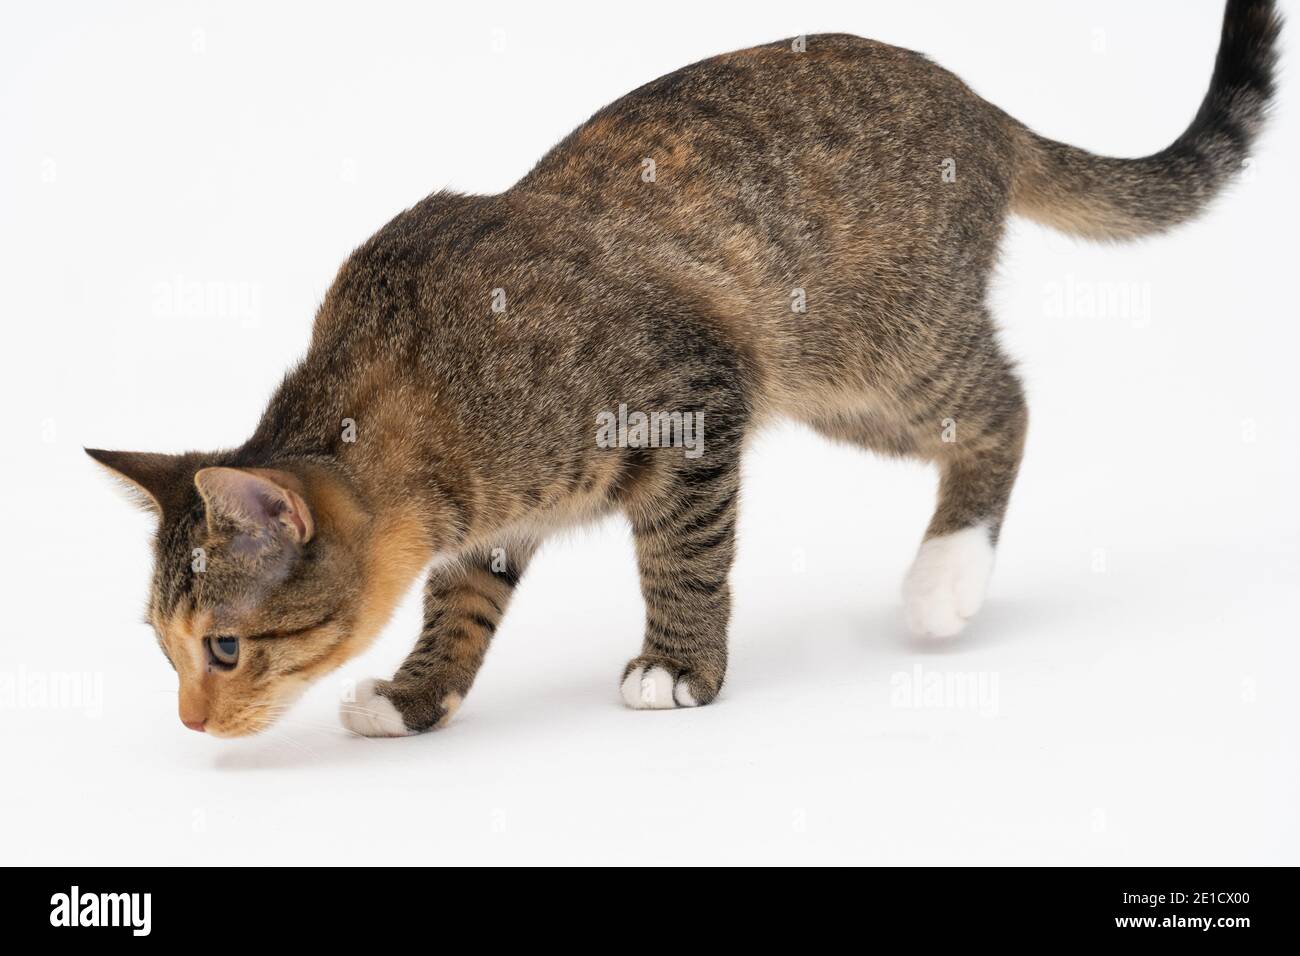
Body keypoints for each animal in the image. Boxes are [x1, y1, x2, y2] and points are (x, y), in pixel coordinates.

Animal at [89, 0, 1279, 738]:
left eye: (224, 650)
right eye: (162, 647)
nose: (189, 720)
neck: (414, 387)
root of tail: (982, 108)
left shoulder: (695, 401)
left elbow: (684, 554)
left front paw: (676, 664)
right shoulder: (498, 510)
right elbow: (463, 596)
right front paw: (421, 692)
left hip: (878, 354)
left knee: (1004, 404)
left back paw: (950, 573)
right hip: (834, 388)